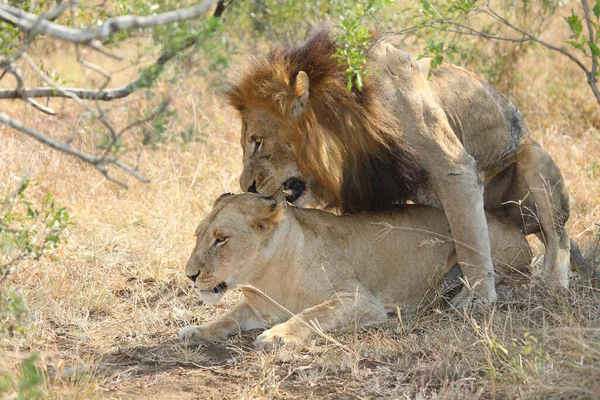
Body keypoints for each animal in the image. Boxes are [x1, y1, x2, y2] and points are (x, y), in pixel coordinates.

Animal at [179, 194, 528, 346]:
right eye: (197, 235)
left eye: (221, 239)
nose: (189, 275)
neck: (266, 279)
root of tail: (517, 226)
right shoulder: (257, 308)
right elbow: (228, 316)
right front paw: (197, 330)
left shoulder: (361, 300)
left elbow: (310, 314)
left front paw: (278, 335)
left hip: (475, 239)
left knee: (503, 281)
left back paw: (456, 299)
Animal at [227, 28, 576, 304]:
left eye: (257, 141)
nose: (247, 187)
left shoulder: (455, 168)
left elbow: (470, 241)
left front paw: (478, 298)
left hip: (535, 161)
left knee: (559, 240)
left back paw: (553, 286)